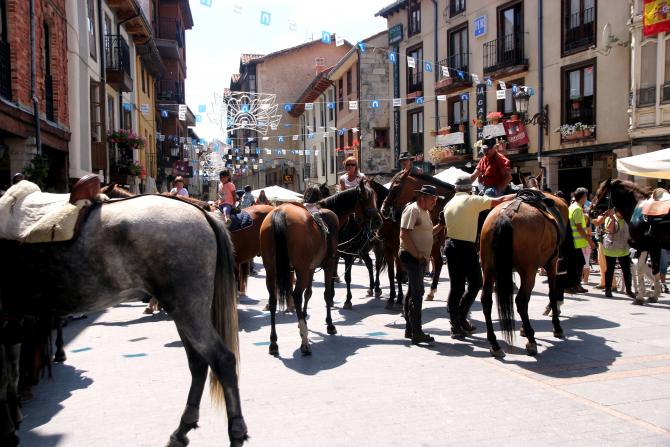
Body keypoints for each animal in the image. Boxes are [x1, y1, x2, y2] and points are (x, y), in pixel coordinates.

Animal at [0, 187, 248, 446]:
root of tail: (202, 214)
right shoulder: (14, 323)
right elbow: (11, 377)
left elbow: (4, 381)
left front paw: (9, 429)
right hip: (183, 311)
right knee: (199, 363)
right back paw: (182, 429)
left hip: (189, 310)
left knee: (222, 360)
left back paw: (235, 433)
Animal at [260, 180, 382, 356]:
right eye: (366, 198)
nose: (378, 221)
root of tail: (280, 213)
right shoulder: (329, 263)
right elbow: (327, 293)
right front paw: (329, 324)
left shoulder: (311, 268)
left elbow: (309, 294)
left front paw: (303, 319)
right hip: (301, 270)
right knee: (296, 295)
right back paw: (304, 342)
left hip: (272, 269)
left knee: (273, 299)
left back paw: (274, 342)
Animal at [479, 181, 576, 357]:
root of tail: (508, 214)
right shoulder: (551, 264)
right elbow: (552, 294)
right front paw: (556, 327)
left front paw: (524, 329)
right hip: (529, 270)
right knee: (521, 301)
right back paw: (531, 340)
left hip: (488, 268)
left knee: (487, 300)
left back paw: (494, 344)